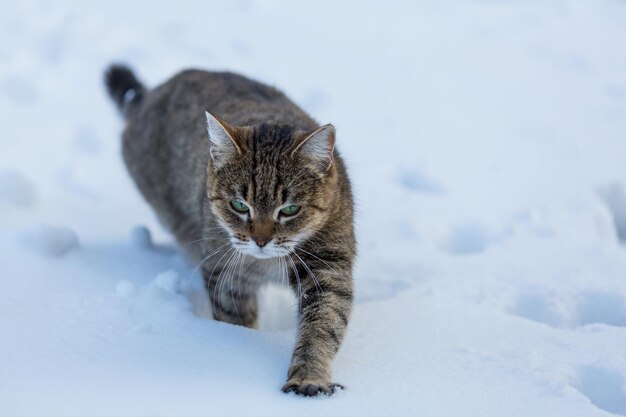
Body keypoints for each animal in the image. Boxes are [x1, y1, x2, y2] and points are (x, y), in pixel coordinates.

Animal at [105, 65, 354, 396]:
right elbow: (236, 322)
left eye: (289, 209)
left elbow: (324, 325)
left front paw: (309, 375)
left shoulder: (328, 267)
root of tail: (150, 94)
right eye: (239, 205)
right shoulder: (227, 276)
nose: (261, 240)